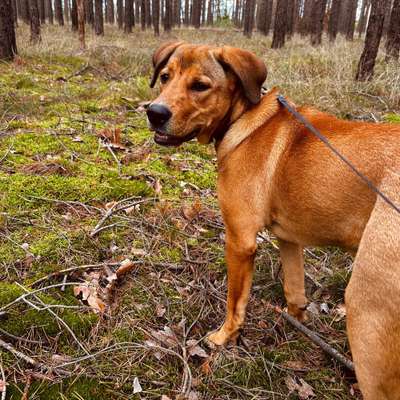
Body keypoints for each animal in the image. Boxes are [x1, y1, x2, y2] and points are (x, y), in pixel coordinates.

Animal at [147, 40, 400, 396]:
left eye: (200, 86)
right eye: (165, 77)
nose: (154, 112)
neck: (242, 117)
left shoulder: (239, 240)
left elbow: (235, 302)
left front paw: (225, 337)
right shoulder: (290, 239)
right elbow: (295, 290)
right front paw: (296, 324)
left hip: (367, 313)